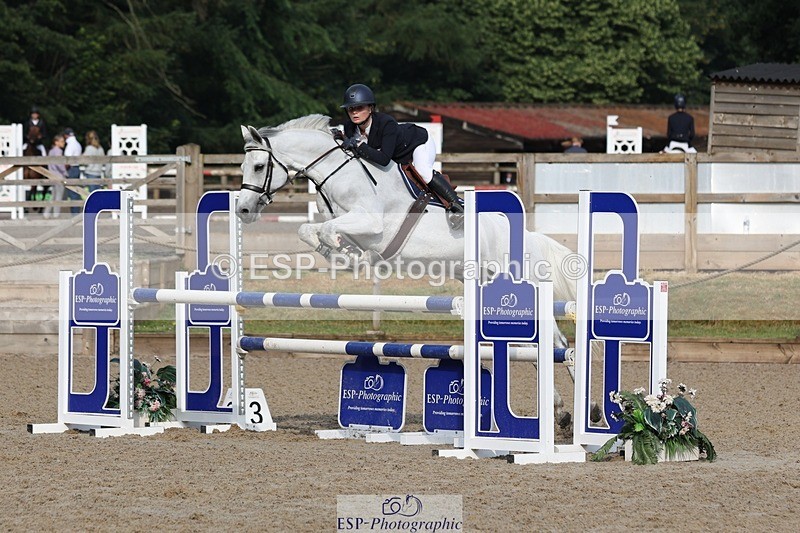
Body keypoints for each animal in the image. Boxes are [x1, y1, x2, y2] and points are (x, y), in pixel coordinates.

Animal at [236, 114, 586, 427]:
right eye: (242, 166)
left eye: (258, 166)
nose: (243, 209)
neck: (339, 174)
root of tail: (527, 236)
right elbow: (308, 231)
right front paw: (343, 254)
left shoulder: (372, 224)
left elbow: (328, 231)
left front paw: (349, 254)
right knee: (534, 347)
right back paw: (563, 411)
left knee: (556, 345)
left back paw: (584, 411)